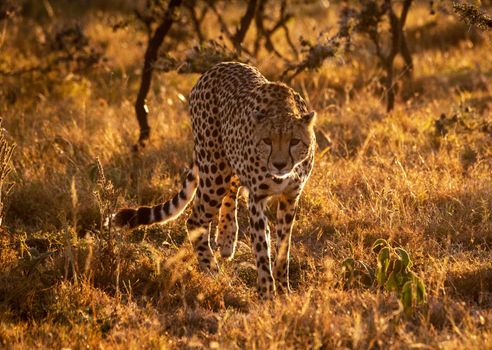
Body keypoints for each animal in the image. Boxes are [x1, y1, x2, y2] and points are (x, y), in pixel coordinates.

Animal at [113, 61, 318, 296]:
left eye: (294, 141)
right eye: (267, 141)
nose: (279, 164)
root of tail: (219, 65)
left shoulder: (290, 197)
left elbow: (284, 245)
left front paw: (283, 289)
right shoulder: (257, 197)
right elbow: (261, 247)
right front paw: (267, 291)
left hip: (225, 165)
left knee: (231, 190)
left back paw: (227, 238)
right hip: (214, 170)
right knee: (195, 220)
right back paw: (212, 270)